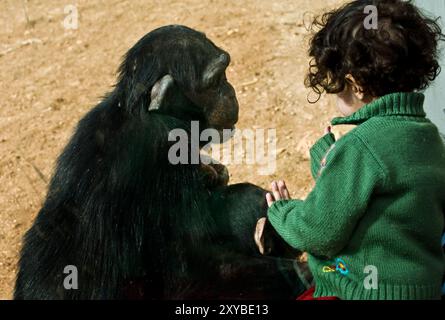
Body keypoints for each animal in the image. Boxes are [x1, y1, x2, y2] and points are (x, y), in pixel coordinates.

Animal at [14, 25, 306, 300]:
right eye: (215, 81)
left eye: (225, 73)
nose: (230, 90)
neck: (141, 111)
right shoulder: (163, 149)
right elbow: (195, 269)